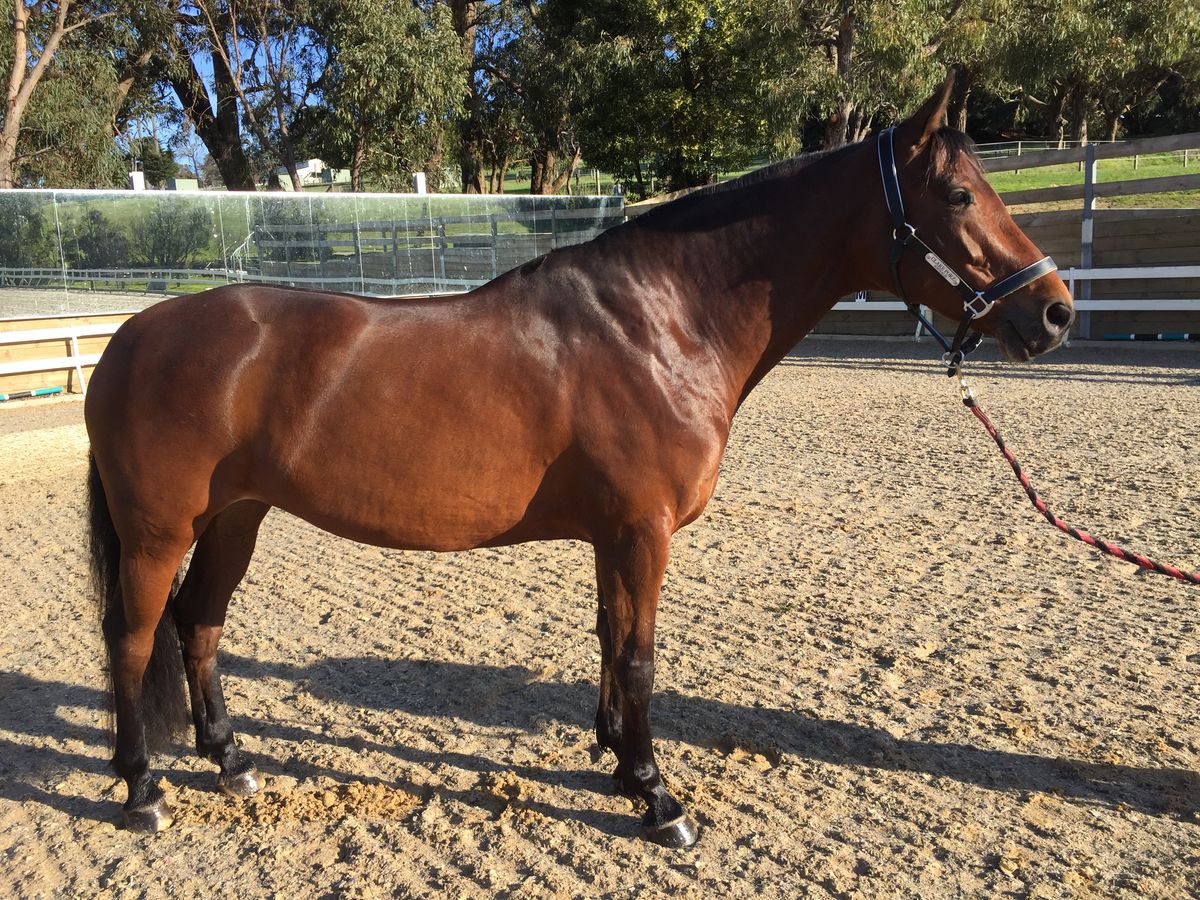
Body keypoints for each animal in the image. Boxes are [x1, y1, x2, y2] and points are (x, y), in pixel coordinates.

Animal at [84, 74, 1073, 849]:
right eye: (957, 195)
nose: (1055, 311)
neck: (661, 321)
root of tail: (130, 337)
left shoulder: (614, 535)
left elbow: (607, 639)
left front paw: (620, 767)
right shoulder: (641, 532)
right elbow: (638, 657)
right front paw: (660, 799)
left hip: (235, 519)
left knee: (200, 625)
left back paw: (231, 761)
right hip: (158, 533)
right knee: (132, 637)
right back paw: (141, 789)